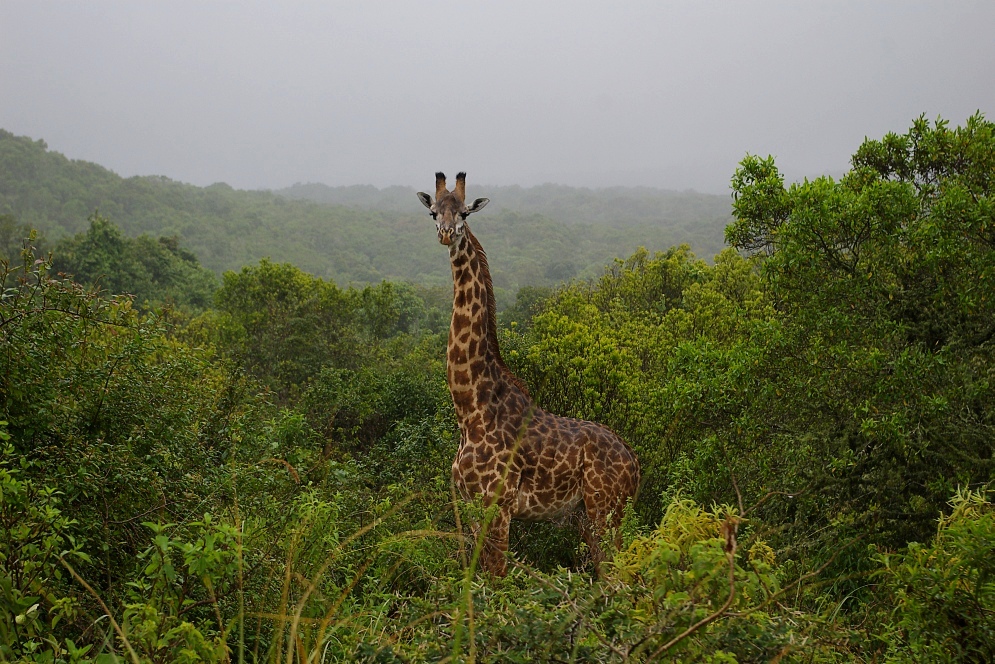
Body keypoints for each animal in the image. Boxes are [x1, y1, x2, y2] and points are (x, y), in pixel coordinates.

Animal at [416, 172, 640, 576]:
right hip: (589, 516)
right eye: (432, 212)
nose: (446, 233)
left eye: (465, 212)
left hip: (606, 509)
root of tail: (635, 464)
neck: (470, 409)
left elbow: (497, 578)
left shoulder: (498, 505)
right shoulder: (471, 507)